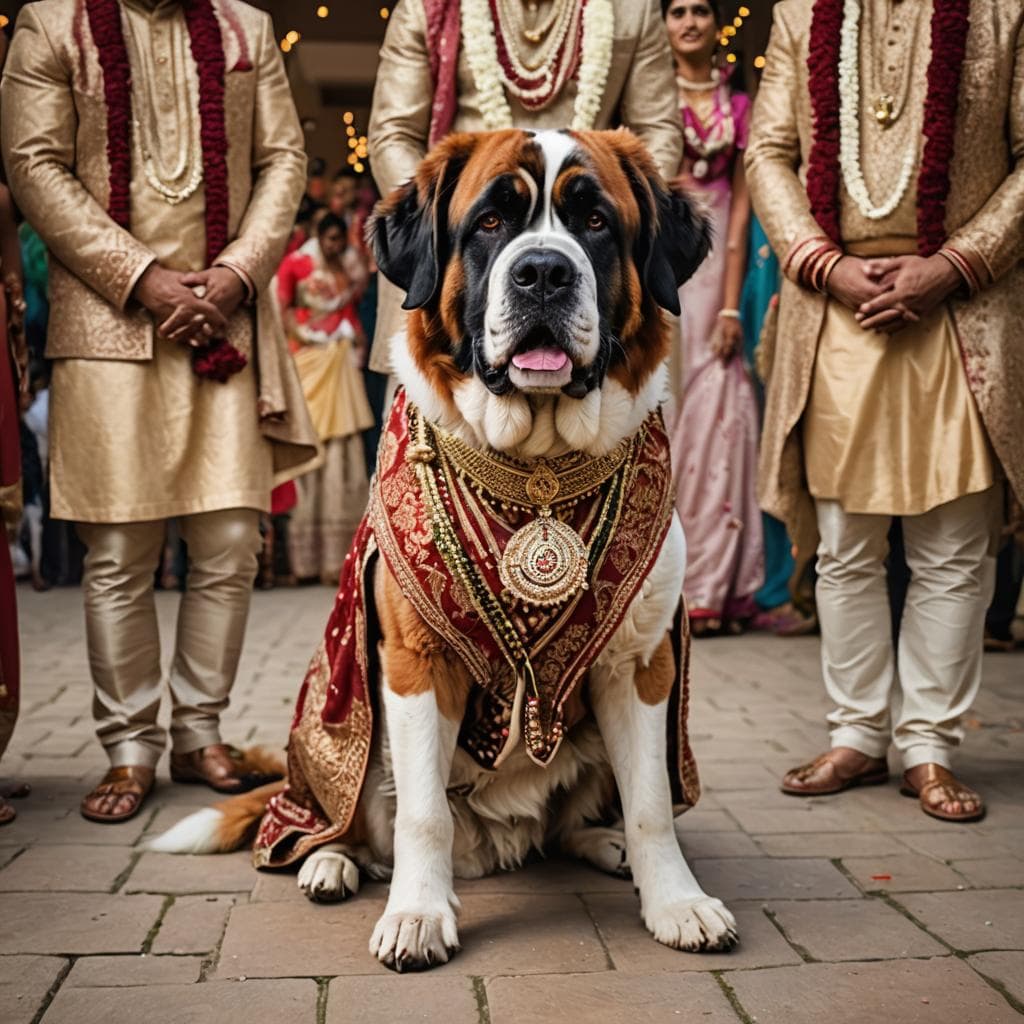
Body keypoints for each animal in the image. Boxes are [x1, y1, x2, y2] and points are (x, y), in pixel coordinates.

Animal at [153, 132, 737, 970]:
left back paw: (604, 844)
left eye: (596, 221)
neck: (537, 470)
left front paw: (676, 901)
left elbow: (654, 802)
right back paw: (330, 862)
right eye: (490, 221)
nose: (544, 271)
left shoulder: (641, 664)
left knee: (567, 824)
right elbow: (421, 813)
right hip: (343, 724)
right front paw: (417, 915)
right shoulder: (415, 662)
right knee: (342, 816)